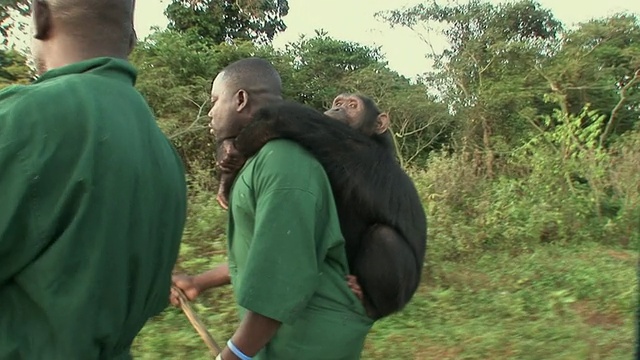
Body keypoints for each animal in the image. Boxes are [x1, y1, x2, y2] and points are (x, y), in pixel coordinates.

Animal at [218, 94, 428, 320]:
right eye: (339, 102)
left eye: (352, 105)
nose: (336, 109)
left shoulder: (354, 148)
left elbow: (288, 120)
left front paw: (235, 155)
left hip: (402, 294)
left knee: (384, 236)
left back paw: (372, 304)